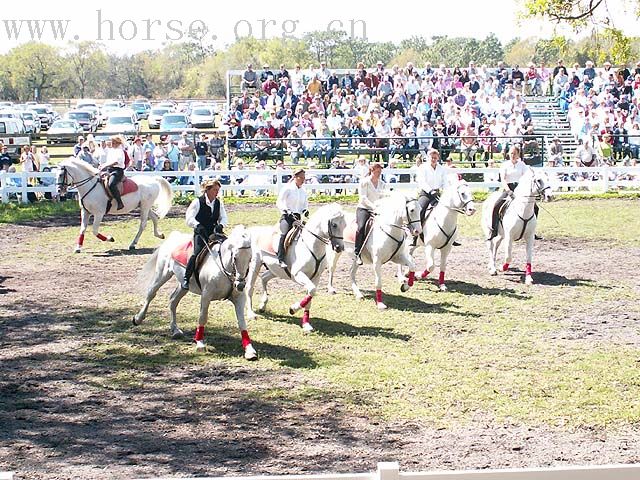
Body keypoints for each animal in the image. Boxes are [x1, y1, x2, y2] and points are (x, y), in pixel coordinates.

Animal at [134, 227, 258, 358]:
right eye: (235, 258)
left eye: (250, 259)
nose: (240, 285)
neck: (223, 268)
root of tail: (174, 237)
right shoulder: (206, 296)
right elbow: (202, 317)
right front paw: (200, 343)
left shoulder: (239, 298)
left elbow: (242, 322)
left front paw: (249, 350)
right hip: (162, 274)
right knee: (151, 293)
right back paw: (138, 318)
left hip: (183, 285)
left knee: (173, 300)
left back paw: (175, 330)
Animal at [246, 203, 348, 334]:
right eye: (334, 225)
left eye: (345, 225)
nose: (339, 247)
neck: (311, 246)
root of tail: (253, 231)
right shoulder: (298, 275)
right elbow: (312, 291)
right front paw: (293, 309)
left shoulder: (315, 277)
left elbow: (310, 296)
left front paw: (306, 324)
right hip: (255, 264)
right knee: (249, 287)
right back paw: (251, 314)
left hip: (276, 270)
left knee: (264, 278)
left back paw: (263, 305)